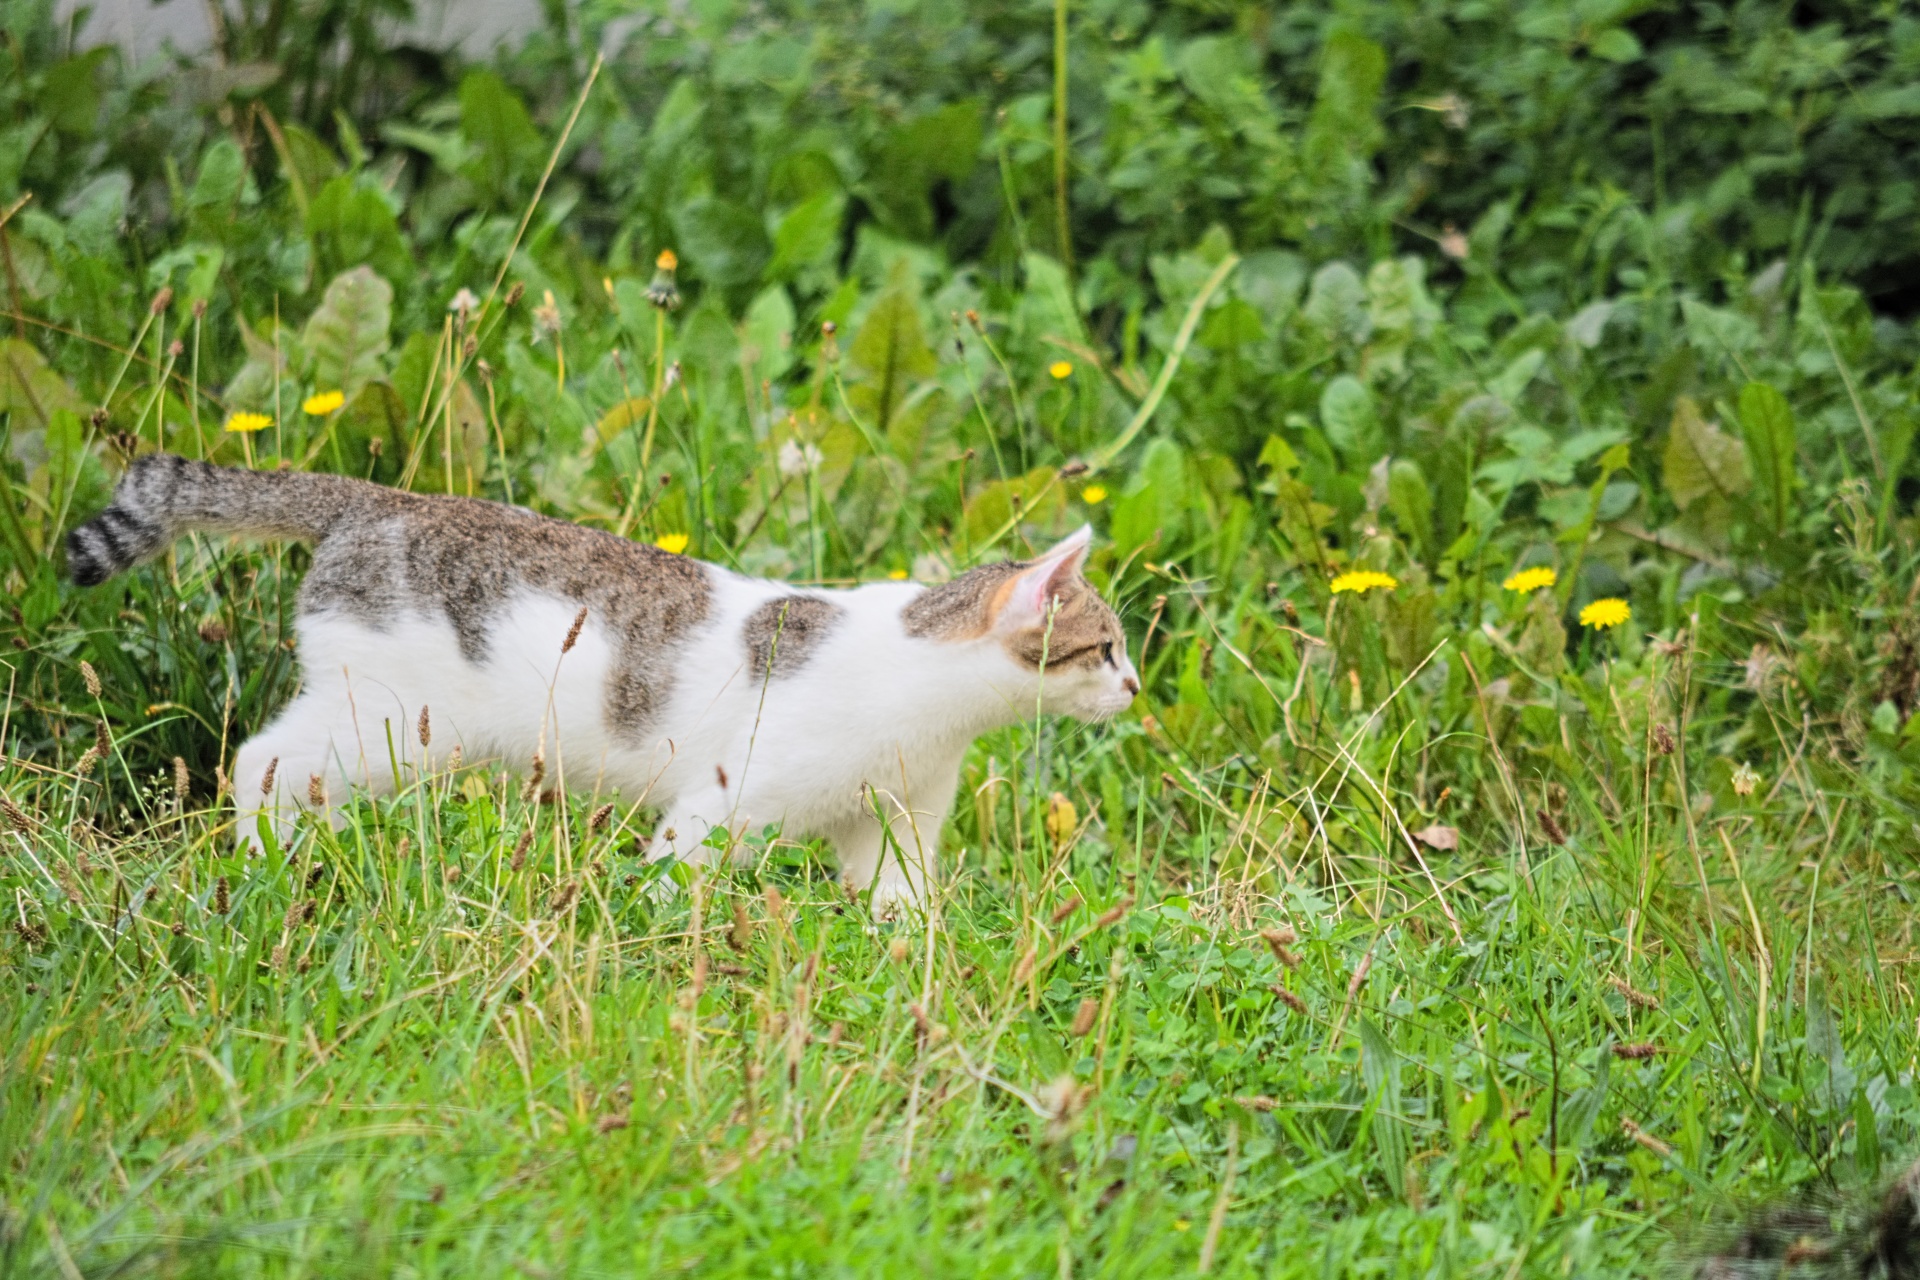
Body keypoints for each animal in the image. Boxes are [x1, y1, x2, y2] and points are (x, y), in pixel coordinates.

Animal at [67, 454, 1128, 905]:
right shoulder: (725, 802)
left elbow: (898, 901)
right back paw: (270, 864)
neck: (922, 694)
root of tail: (376, 500)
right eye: (1108, 647)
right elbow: (677, 878)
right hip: (388, 723)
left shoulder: (895, 817)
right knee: (259, 762)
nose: (1137, 691)